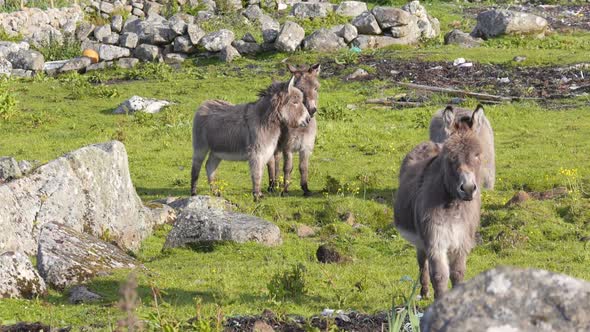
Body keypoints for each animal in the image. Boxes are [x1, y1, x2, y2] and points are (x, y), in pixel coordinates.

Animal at [270, 63, 322, 196]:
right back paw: (272, 186)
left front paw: (305, 189)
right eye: (301, 90)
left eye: (316, 88)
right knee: (273, 162)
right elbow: (288, 168)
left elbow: (303, 167)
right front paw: (285, 189)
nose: (312, 110)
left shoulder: (305, 147)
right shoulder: (288, 147)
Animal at [398, 105, 486, 298]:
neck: (453, 207)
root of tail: (430, 143)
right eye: (450, 156)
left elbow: (458, 274)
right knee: (422, 261)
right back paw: (424, 291)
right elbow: (439, 276)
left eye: (478, 155)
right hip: (421, 239)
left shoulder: (461, 242)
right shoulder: (435, 242)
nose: (468, 188)